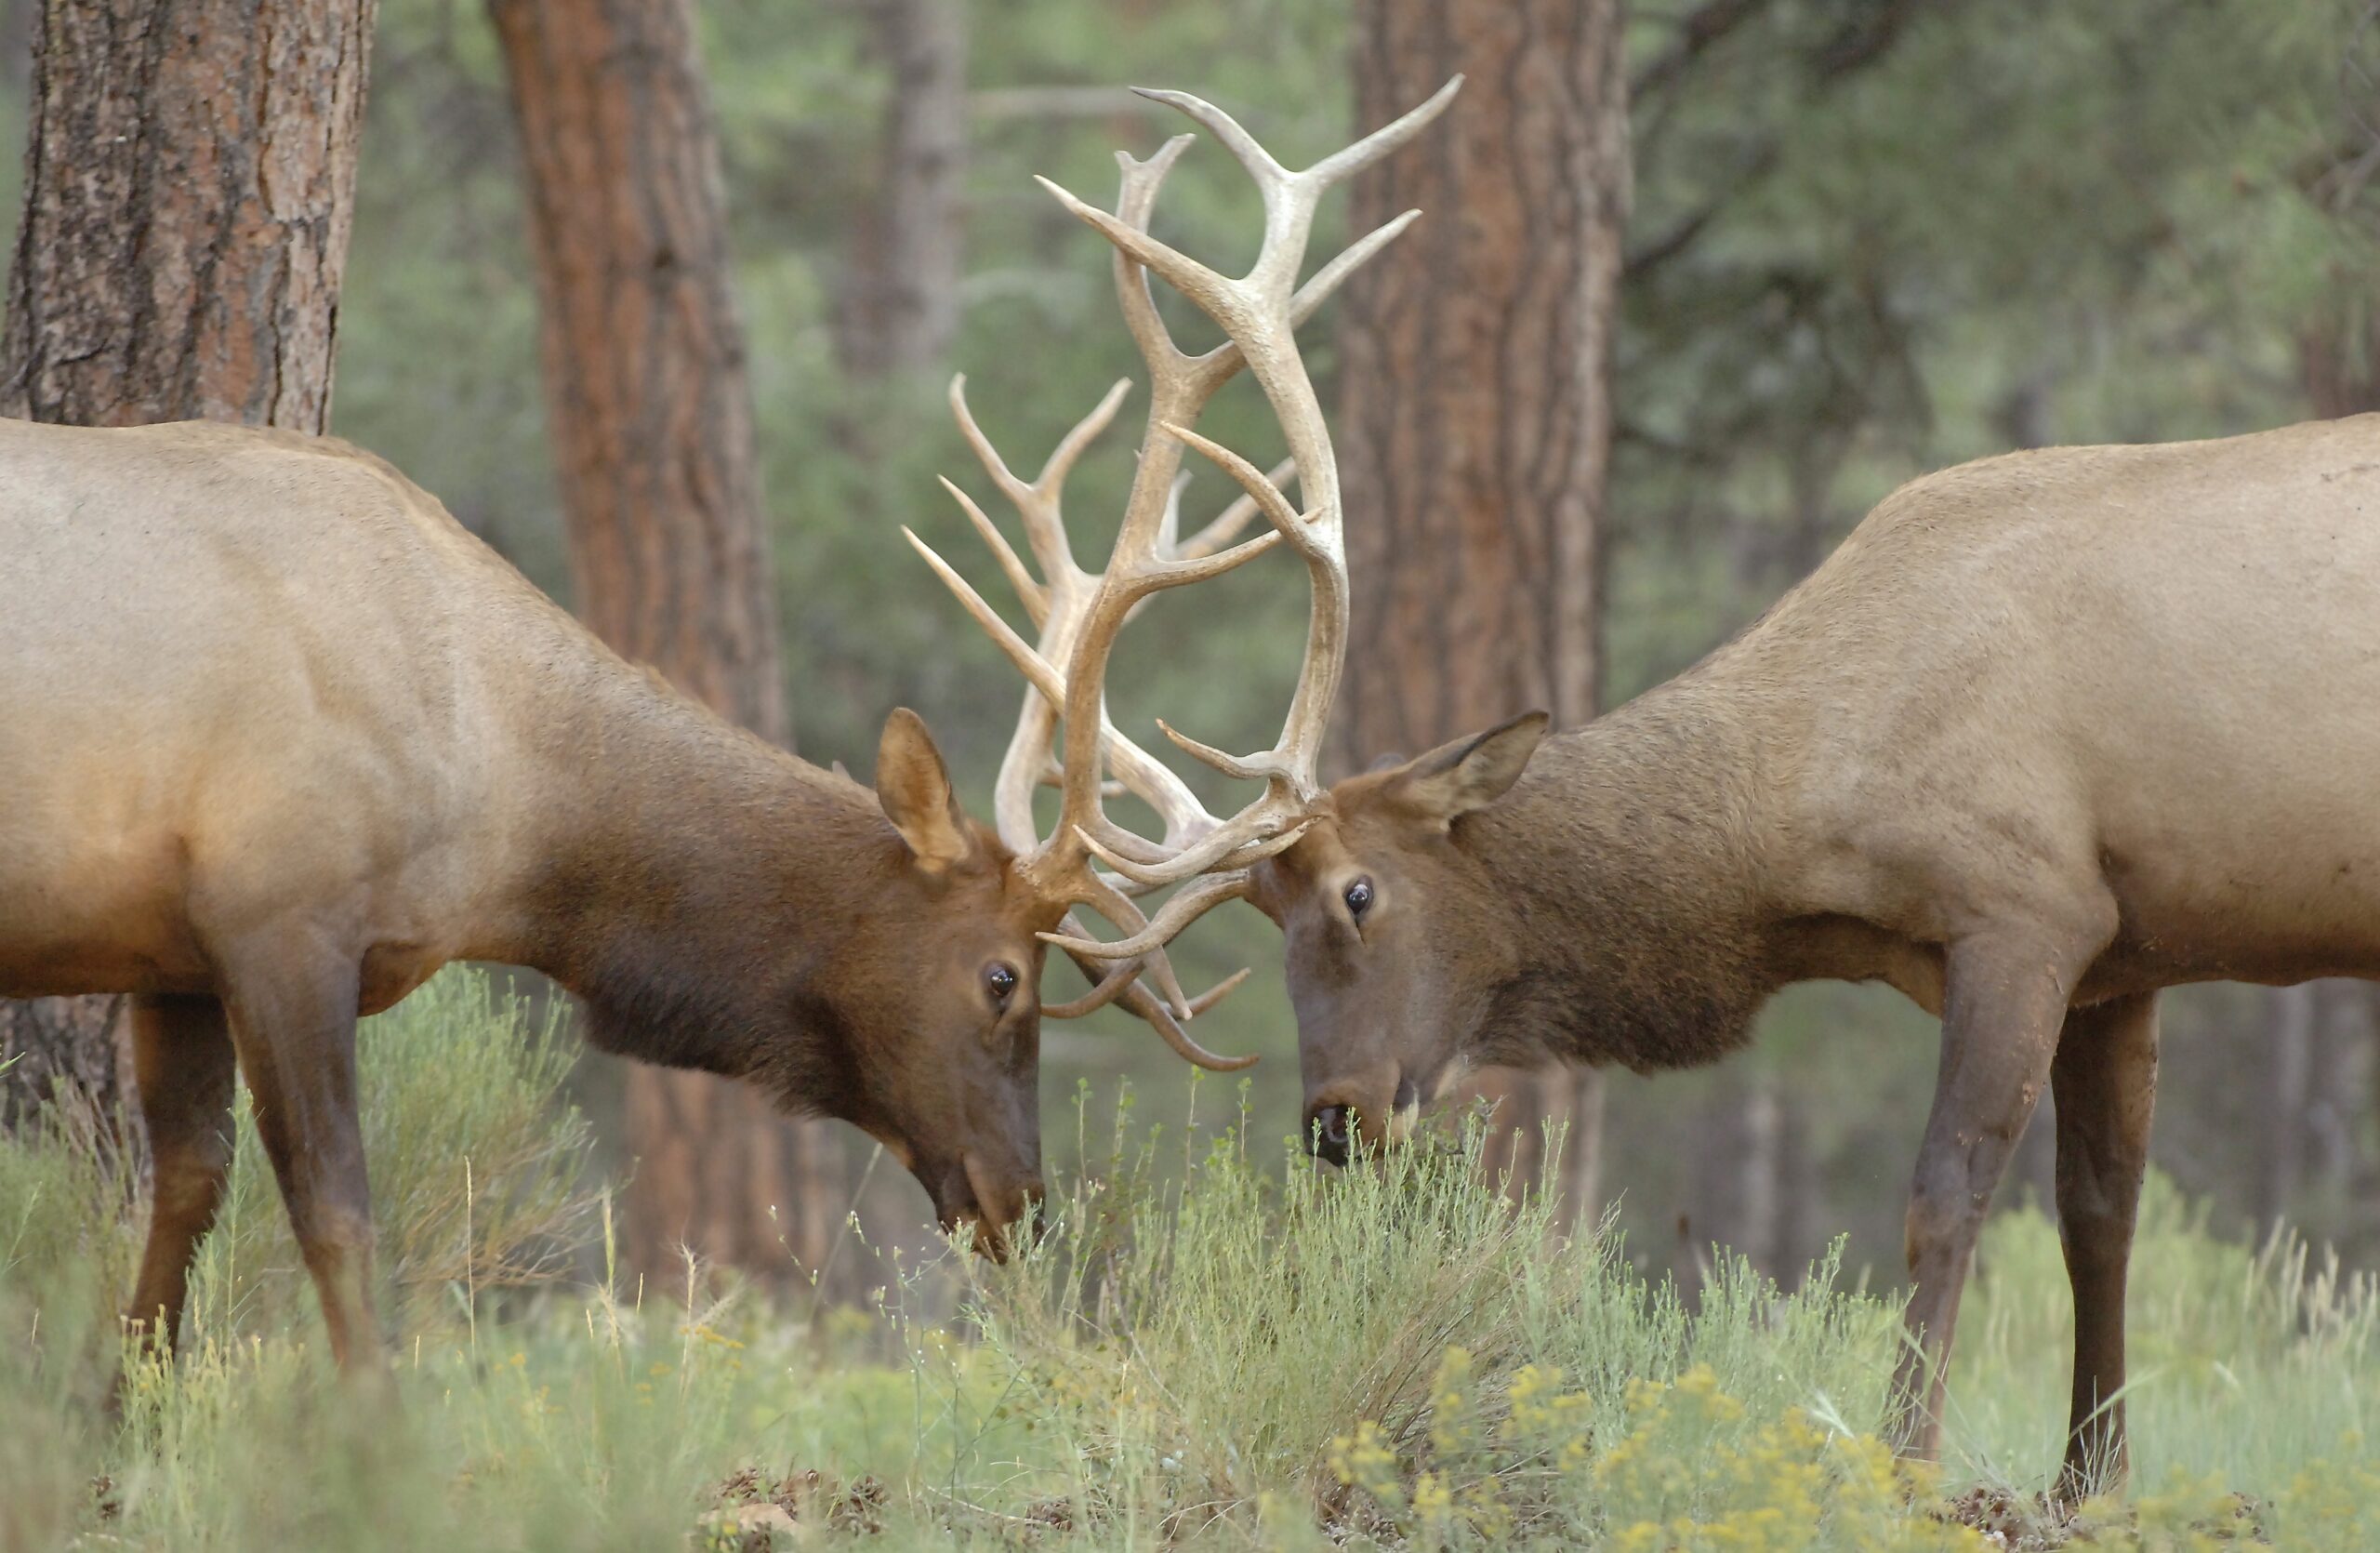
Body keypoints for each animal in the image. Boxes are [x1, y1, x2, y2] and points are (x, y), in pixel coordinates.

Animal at [979, 114, 2380, 1492]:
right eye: (1264, 912)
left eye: (1358, 889)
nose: (1332, 1119)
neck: (1808, 826)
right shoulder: (2122, 950)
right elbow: (2103, 1210)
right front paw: (2090, 1479)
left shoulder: (2025, 907)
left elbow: (1948, 1192)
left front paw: (1905, 1456)